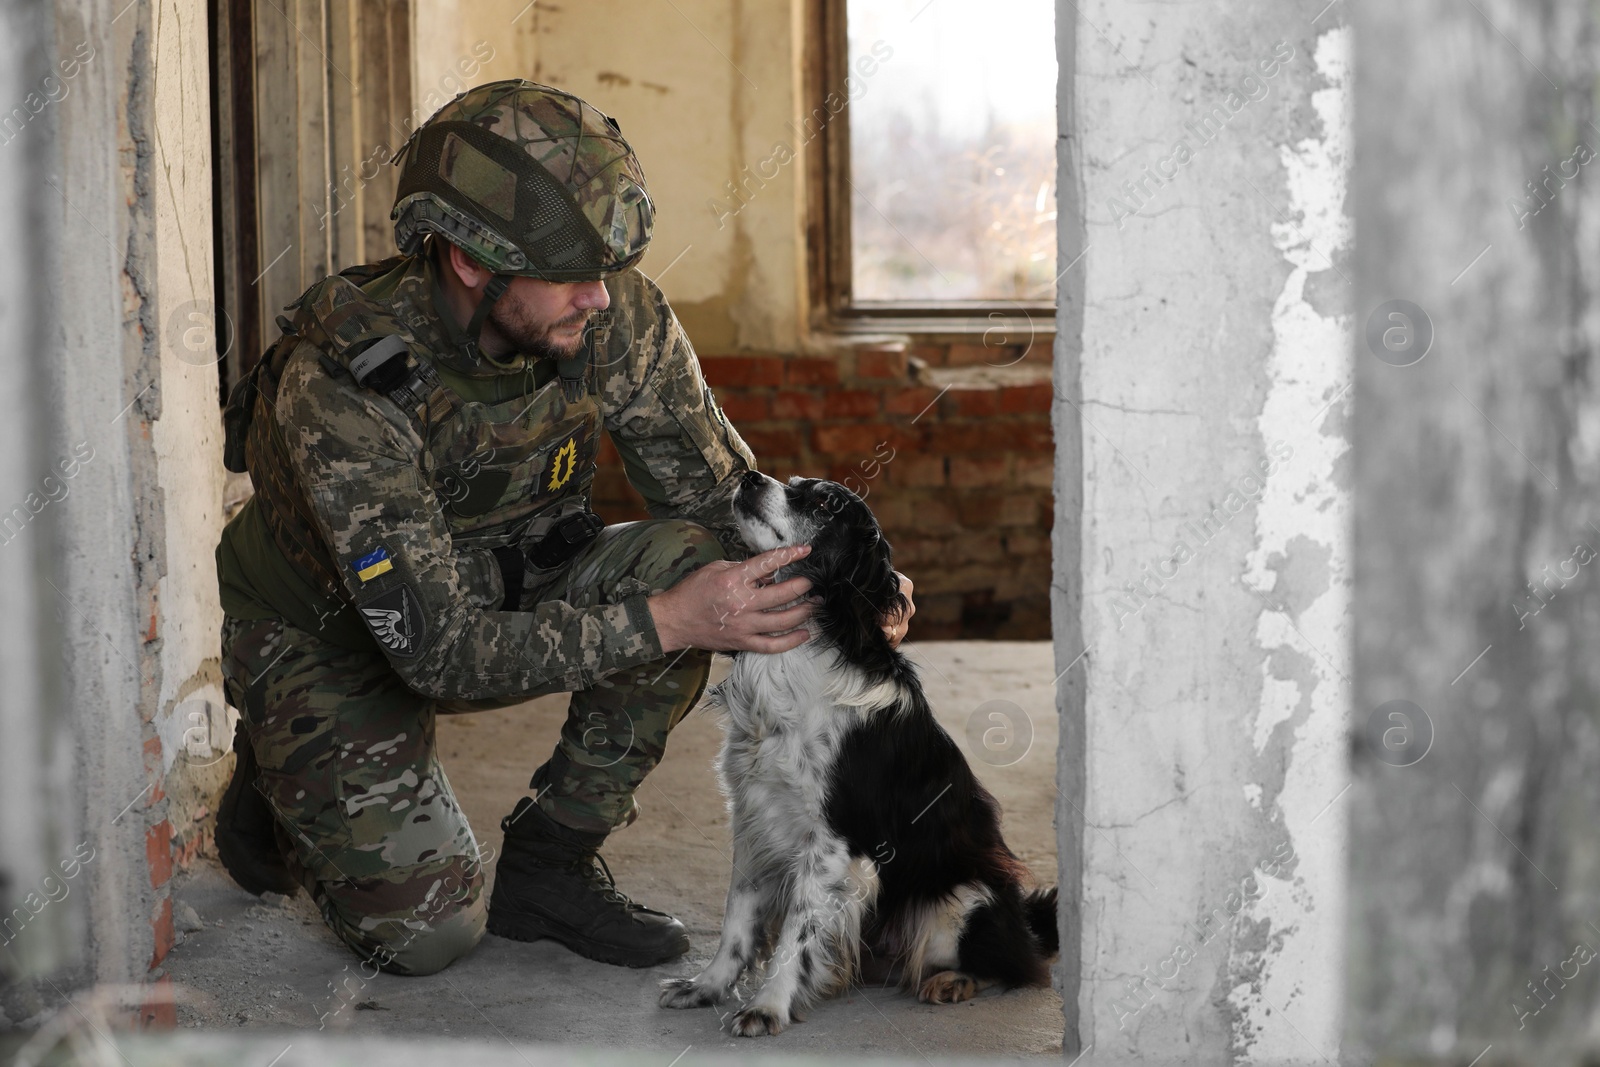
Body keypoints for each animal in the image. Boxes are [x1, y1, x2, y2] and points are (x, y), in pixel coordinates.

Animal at [656, 473, 1056, 1036]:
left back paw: (951, 981)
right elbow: (738, 918)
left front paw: (767, 1006)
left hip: (963, 896)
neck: (798, 655)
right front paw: (707, 986)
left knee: (1012, 966)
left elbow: (794, 934)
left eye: (825, 502)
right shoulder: (755, 816)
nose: (750, 477)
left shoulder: (832, 842)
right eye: (792, 483)